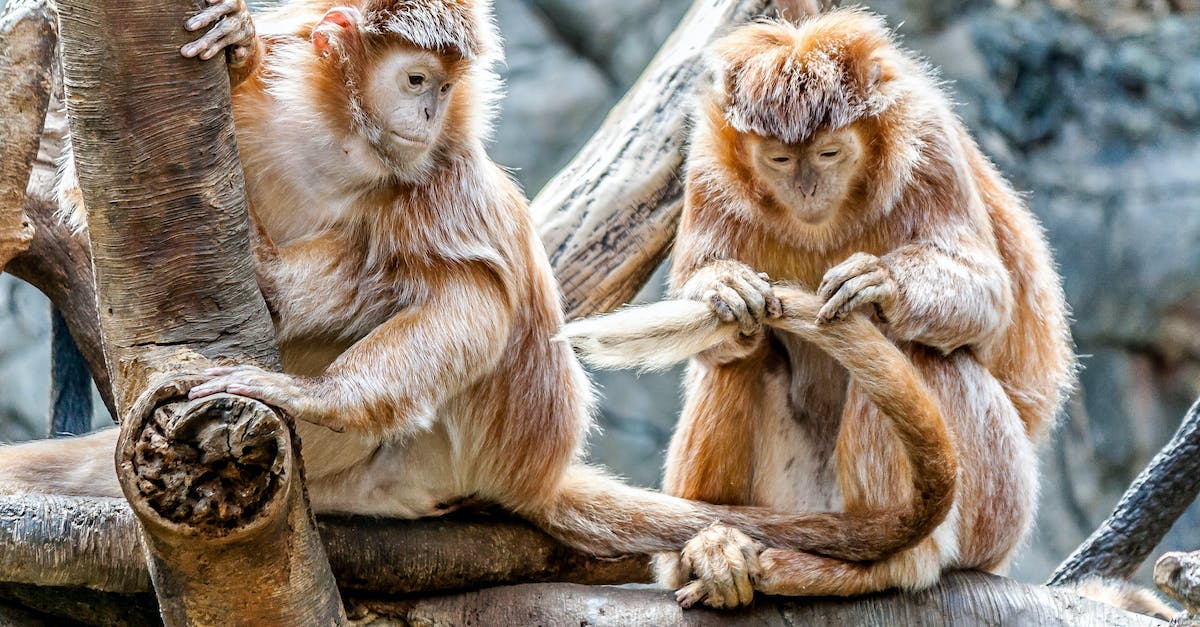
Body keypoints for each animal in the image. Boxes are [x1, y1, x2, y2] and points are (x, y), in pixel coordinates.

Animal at [0, 0, 979, 565]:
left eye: (440, 86)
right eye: (415, 77)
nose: (433, 108)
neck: (342, 137)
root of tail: (535, 472)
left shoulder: (438, 168)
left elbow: (470, 294)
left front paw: (310, 390)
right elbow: (90, 194)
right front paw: (236, 54)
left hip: (467, 439)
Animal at [559, 9, 1075, 607]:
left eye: (830, 152)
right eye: (780, 159)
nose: (806, 188)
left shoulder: (929, 141)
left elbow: (989, 299)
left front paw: (883, 284)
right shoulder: (707, 161)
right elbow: (715, 324)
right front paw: (722, 288)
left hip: (1001, 504)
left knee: (919, 350)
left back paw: (893, 559)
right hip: (791, 498)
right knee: (743, 357)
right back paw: (708, 548)